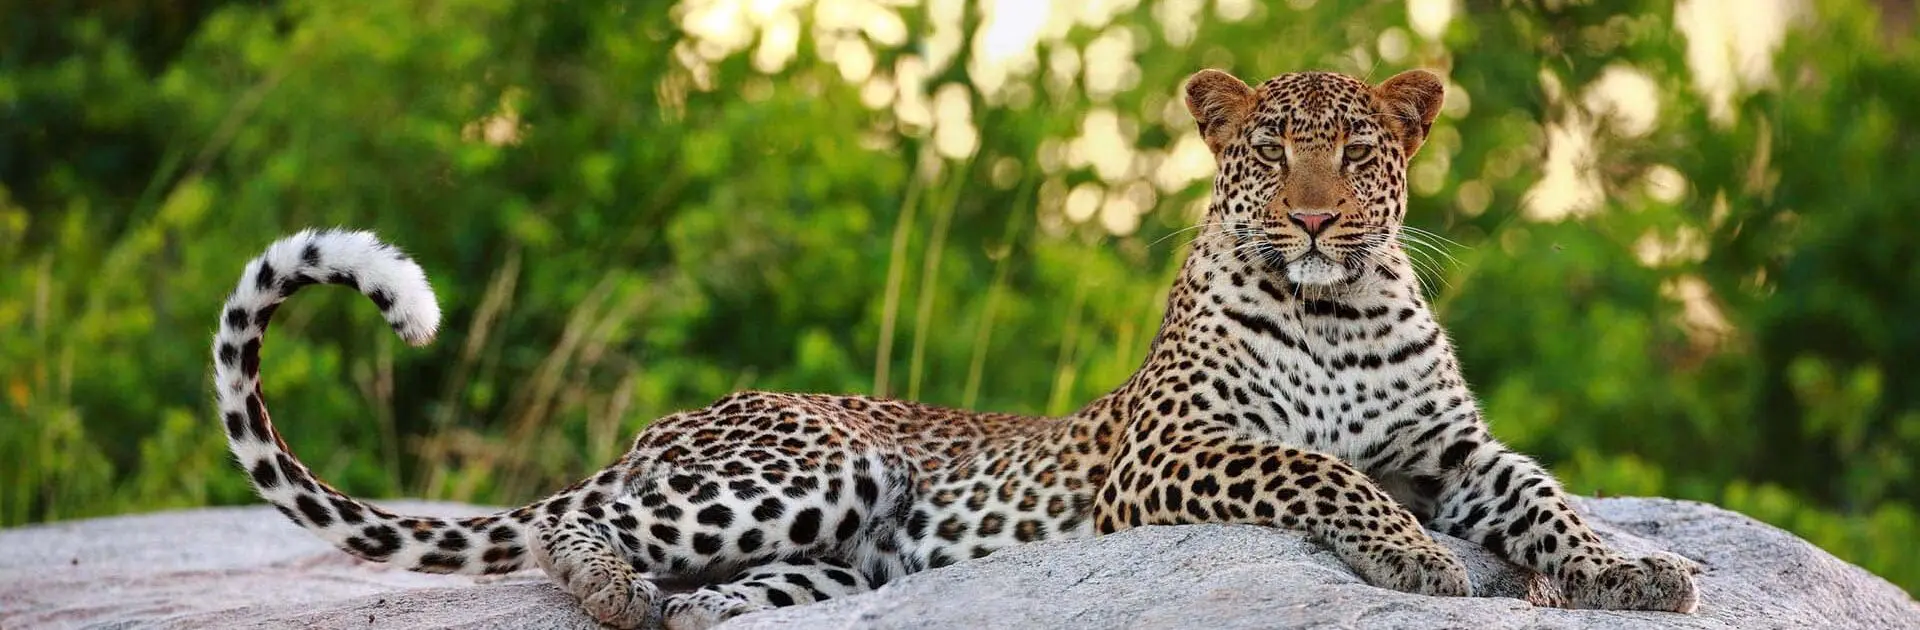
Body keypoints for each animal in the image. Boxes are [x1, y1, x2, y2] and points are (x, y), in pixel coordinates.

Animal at [209, 67, 1699, 629]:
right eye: (1274, 154)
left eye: (1363, 151)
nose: (1321, 219)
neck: (1336, 312)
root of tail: (656, 429)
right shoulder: (1170, 453)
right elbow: (1317, 471)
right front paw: (1410, 556)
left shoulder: (1454, 447)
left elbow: (1543, 492)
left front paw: (1634, 567)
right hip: (806, 465)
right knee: (580, 533)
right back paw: (613, 586)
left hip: (825, 559)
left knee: (724, 589)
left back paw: (705, 610)